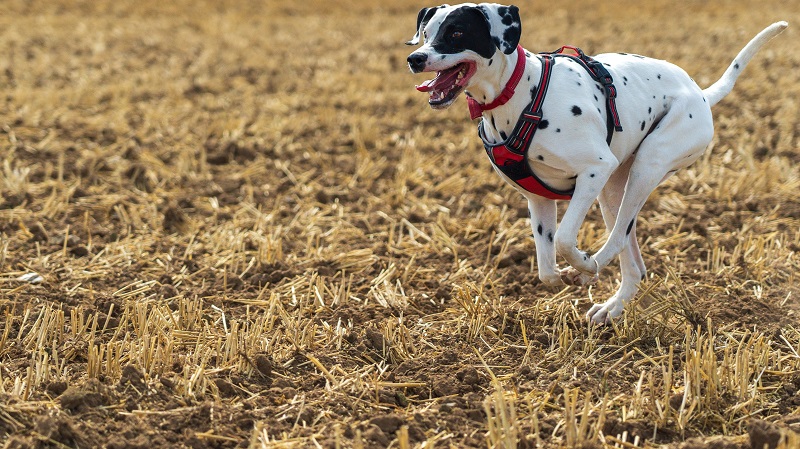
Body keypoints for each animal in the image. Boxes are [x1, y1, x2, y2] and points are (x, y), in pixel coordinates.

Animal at [406, 4, 788, 326]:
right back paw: (613, 307)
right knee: (633, 263)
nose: (414, 58)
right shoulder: (538, 200)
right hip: (613, 189)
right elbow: (546, 268)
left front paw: (582, 267)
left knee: (618, 236)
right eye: (426, 32)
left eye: (456, 32)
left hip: (644, 168)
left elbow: (563, 239)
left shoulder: (594, 170)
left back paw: (591, 269)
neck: (522, 95)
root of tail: (701, 94)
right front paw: (564, 276)